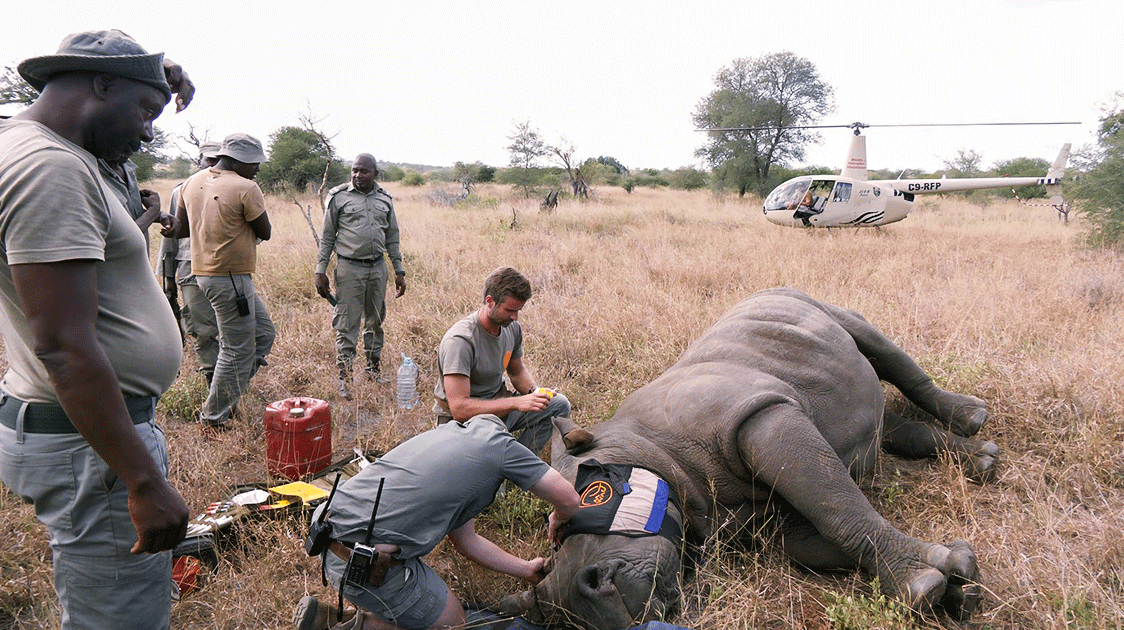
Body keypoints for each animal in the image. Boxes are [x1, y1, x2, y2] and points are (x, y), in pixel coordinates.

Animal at [496, 288, 998, 625]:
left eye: (591, 496)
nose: (583, 595)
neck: (648, 450)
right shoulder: (766, 521)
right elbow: (824, 527)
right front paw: (958, 585)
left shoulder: (759, 416)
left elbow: (836, 508)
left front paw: (924, 588)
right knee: (873, 423)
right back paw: (984, 460)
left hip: (806, 300)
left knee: (873, 343)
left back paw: (975, 417)